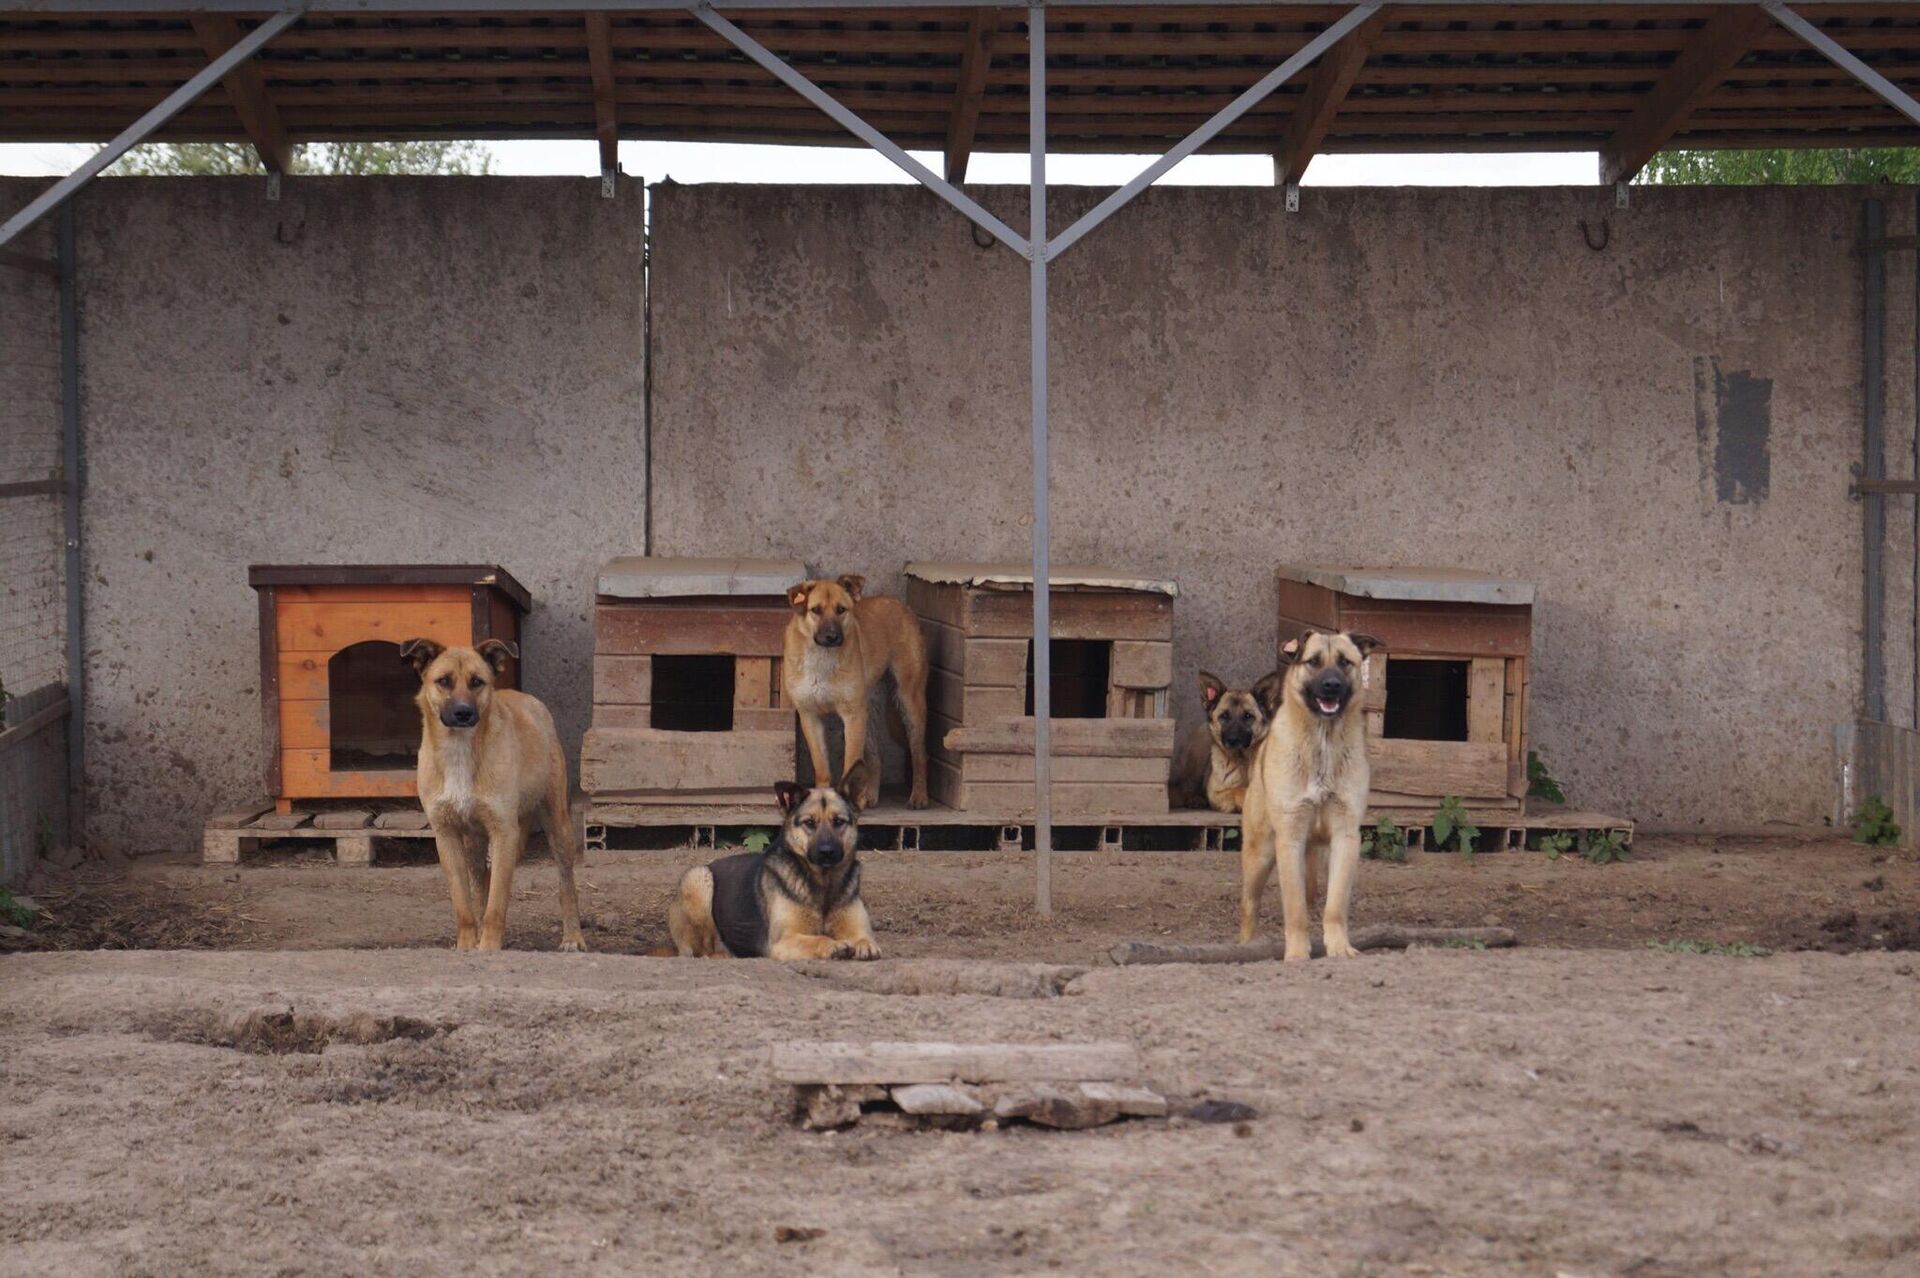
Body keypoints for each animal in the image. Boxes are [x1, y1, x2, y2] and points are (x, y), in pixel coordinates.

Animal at [403, 633, 583, 951]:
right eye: (443, 681)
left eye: (477, 682)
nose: (463, 712)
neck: (459, 751)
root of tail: (528, 698)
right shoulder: (446, 834)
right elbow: (463, 903)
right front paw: (467, 944)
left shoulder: (504, 831)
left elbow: (497, 904)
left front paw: (488, 947)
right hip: (474, 842)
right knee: (480, 880)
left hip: (557, 824)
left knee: (566, 883)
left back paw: (572, 936)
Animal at [779, 568, 929, 805]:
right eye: (816, 610)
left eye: (841, 610)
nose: (832, 637)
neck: (822, 658)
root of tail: (901, 604)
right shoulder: (810, 717)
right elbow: (822, 767)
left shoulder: (852, 716)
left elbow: (851, 764)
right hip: (868, 714)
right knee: (876, 757)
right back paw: (870, 796)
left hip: (908, 702)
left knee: (919, 753)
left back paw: (919, 796)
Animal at [1159, 667, 1282, 805]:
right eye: (1224, 716)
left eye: (1248, 716)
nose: (1233, 740)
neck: (1242, 760)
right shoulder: (1216, 793)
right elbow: (1238, 790)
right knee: (1186, 787)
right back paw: (1194, 799)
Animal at [1236, 625, 1390, 955]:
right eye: (1313, 662)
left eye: (1345, 662)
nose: (1332, 685)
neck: (1323, 742)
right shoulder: (1290, 838)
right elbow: (1294, 909)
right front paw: (1296, 953)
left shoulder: (1346, 838)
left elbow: (1335, 906)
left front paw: (1339, 947)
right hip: (1260, 855)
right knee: (1249, 904)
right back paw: (1247, 944)